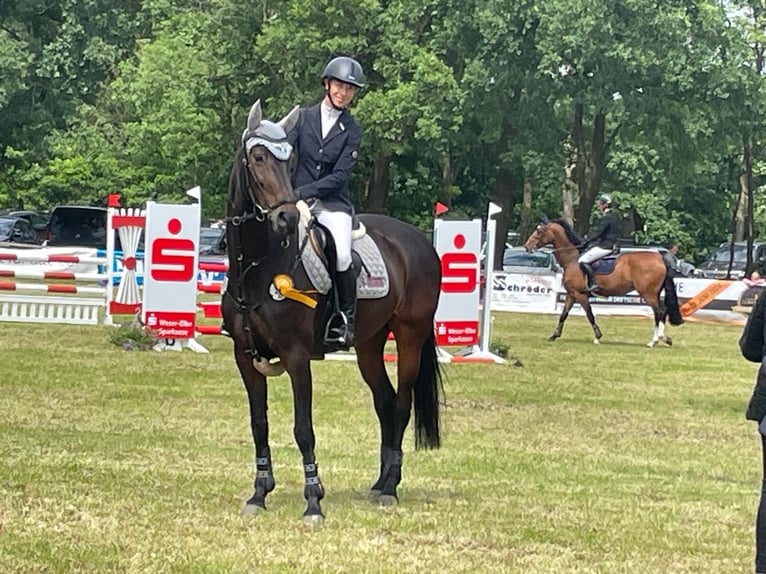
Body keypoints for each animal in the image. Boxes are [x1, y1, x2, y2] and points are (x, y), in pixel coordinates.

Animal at [222, 102, 444, 528]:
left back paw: (391, 489)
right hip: (369, 345)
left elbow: (303, 429)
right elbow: (259, 425)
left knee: (402, 404)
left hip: (409, 337)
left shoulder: (296, 357)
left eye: (287, 159)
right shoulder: (244, 357)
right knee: (384, 403)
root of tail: (421, 242)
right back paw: (381, 481)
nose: (287, 219)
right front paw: (259, 494)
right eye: (257, 158)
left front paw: (313, 501)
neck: (259, 264)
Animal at [528, 219, 684, 346]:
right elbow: (563, 314)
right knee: (660, 312)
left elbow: (589, 314)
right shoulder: (571, 294)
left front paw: (597, 337)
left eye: (539, 231)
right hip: (653, 293)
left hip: (648, 293)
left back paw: (655, 341)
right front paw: (554, 335)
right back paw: (659, 339)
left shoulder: (580, 295)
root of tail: (660, 258)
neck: (572, 259)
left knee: (660, 311)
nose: (527, 246)